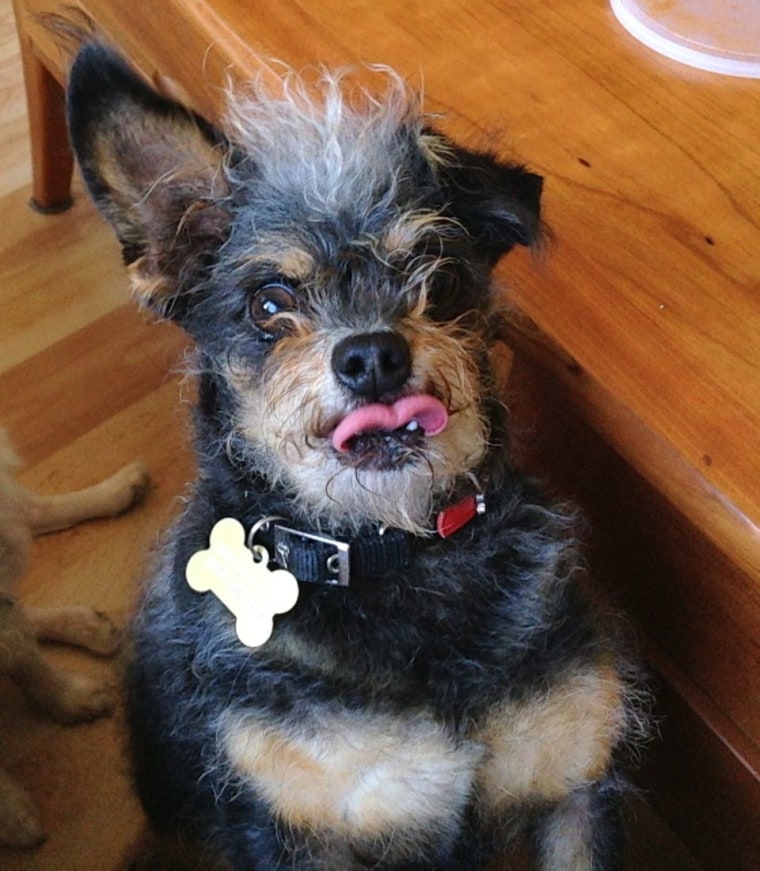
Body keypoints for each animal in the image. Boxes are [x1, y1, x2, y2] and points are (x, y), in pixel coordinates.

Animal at [67, 42, 648, 871]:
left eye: (439, 276)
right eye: (268, 303)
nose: (373, 356)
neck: (394, 559)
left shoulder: (575, 787)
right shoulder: (297, 831)